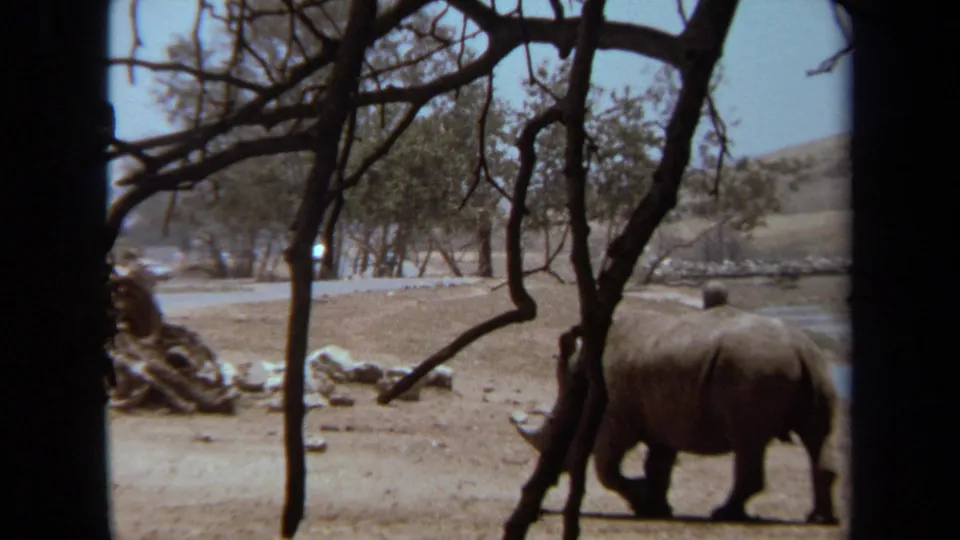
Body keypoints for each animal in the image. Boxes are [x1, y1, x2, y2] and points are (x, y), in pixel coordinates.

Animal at [512, 305, 840, 524]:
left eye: (553, 425)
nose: (556, 469)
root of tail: (797, 347)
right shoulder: (661, 417)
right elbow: (659, 465)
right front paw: (655, 508)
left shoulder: (615, 418)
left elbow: (608, 469)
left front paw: (642, 500)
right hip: (815, 366)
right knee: (816, 436)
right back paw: (818, 518)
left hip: (753, 368)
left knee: (748, 443)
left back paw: (723, 514)